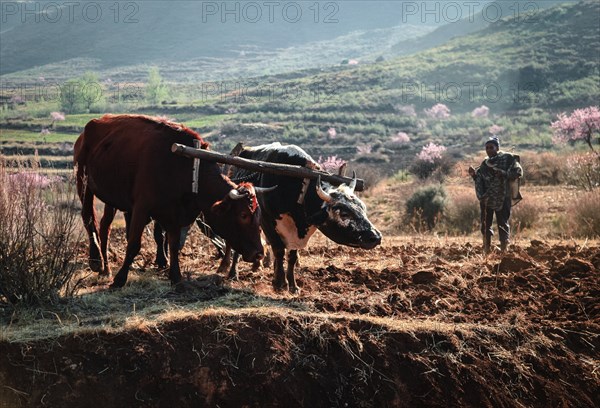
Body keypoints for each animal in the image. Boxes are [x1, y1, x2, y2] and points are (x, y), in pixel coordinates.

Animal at [73, 115, 264, 286]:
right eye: (243, 215)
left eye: (258, 215)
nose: (259, 253)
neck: (189, 169)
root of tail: (91, 125)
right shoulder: (142, 208)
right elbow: (134, 243)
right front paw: (120, 279)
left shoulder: (175, 213)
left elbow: (172, 243)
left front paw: (176, 276)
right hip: (83, 181)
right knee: (88, 217)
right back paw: (96, 261)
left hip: (111, 197)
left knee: (105, 226)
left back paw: (106, 269)